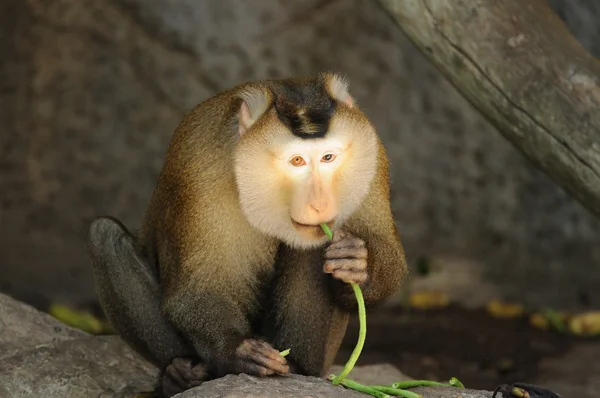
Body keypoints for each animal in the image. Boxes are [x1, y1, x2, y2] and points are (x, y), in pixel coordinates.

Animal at [88, 72, 408, 398]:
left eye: (328, 157)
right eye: (297, 161)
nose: (319, 203)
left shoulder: (371, 156)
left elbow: (383, 255)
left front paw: (358, 264)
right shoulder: (201, 165)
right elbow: (197, 291)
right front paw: (237, 351)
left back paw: (299, 368)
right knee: (104, 236)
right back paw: (178, 375)